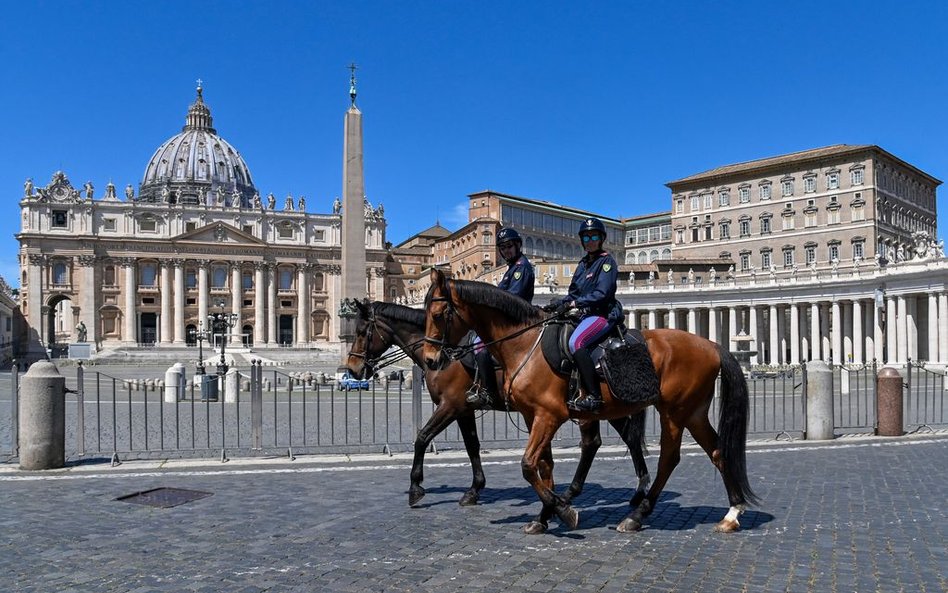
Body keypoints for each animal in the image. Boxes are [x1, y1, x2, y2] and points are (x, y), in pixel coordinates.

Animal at [344, 300, 656, 528]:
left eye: (360, 333)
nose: (352, 370)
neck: (445, 353)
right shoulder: (465, 409)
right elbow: (472, 446)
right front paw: (474, 490)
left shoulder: (450, 405)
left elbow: (422, 438)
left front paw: (415, 488)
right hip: (606, 406)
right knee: (620, 439)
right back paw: (630, 492)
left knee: (610, 441)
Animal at [420, 270, 756, 536]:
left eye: (437, 315)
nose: (430, 360)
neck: (524, 345)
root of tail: (712, 345)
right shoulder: (532, 415)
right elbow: (543, 465)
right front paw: (545, 515)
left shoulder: (549, 415)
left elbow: (528, 465)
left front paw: (562, 510)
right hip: (693, 412)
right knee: (717, 451)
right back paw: (732, 514)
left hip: (674, 412)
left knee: (668, 458)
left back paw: (636, 515)